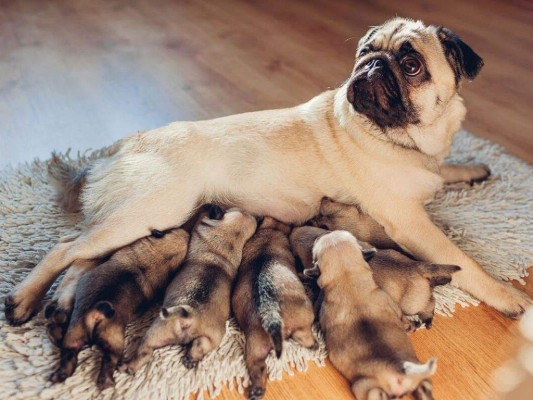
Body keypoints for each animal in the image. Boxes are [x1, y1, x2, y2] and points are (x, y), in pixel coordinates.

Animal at [49, 227, 189, 388]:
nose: (186, 231)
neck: (160, 256)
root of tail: (96, 313)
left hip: (94, 338)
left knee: (101, 359)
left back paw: (101, 381)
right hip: (81, 336)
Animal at [121, 206, 257, 374]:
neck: (229, 238)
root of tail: (189, 317)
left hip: (157, 332)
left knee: (143, 352)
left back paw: (127, 366)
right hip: (209, 337)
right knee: (199, 347)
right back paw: (190, 360)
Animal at [232, 217, 317, 400]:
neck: (270, 231)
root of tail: (271, 314)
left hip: (255, 343)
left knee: (258, 367)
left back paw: (257, 390)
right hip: (304, 319)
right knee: (304, 336)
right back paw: (314, 344)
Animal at [310, 231, 436, 400]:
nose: (319, 235)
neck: (348, 280)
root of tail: (401, 371)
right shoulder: (391, 304)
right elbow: (402, 318)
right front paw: (410, 326)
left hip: (365, 388)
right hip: (421, 378)